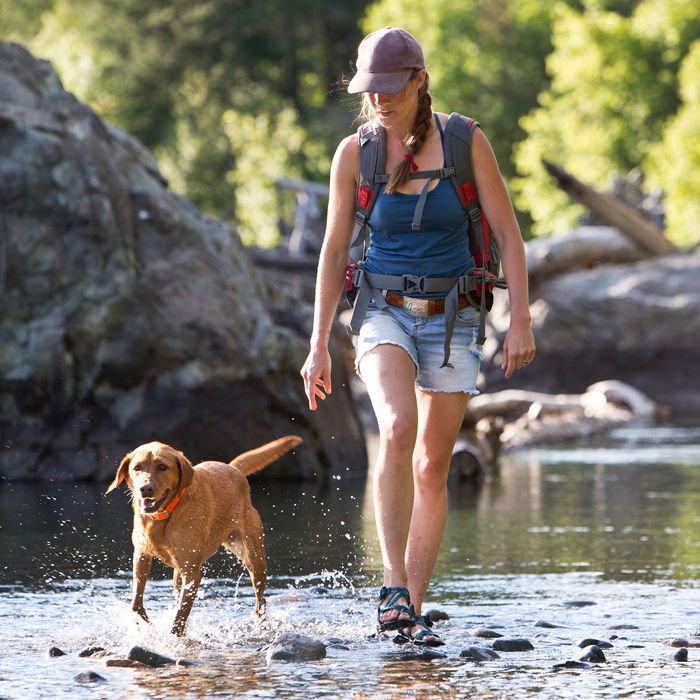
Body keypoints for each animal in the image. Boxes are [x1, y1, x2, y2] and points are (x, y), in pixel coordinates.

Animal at [106, 434, 300, 636]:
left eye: (162, 467)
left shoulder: (192, 573)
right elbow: (136, 603)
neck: (163, 516)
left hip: (254, 559)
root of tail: (233, 468)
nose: (146, 488)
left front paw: (172, 637)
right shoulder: (142, 556)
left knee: (260, 599)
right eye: (137, 467)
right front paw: (147, 626)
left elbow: (180, 617)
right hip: (179, 574)